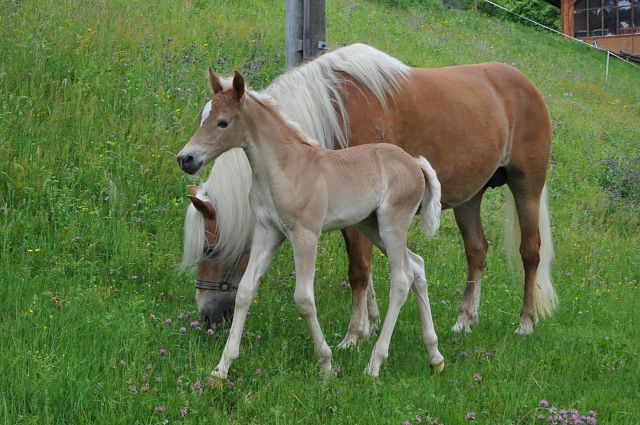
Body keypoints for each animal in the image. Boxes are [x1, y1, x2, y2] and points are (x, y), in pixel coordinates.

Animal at [175, 70, 444, 378]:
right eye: (202, 116)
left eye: (223, 122)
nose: (186, 159)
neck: (286, 168)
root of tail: (414, 162)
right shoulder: (268, 232)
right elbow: (244, 291)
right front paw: (221, 370)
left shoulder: (305, 235)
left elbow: (303, 299)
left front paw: (326, 365)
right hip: (371, 226)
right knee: (417, 265)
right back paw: (435, 355)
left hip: (392, 224)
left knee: (401, 278)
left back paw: (375, 363)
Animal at [181, 43, 556, 336]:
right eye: (201, 117)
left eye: (210, 250)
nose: (206, 315)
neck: (334, 112)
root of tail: (526, 84)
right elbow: (367, 270)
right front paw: (371, 321)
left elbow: (359, 270)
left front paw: (355, 333)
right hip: (469, 198)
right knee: (476, 251)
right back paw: (465, 320)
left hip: (526, 186)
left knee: (530, 252)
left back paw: (526, 323)